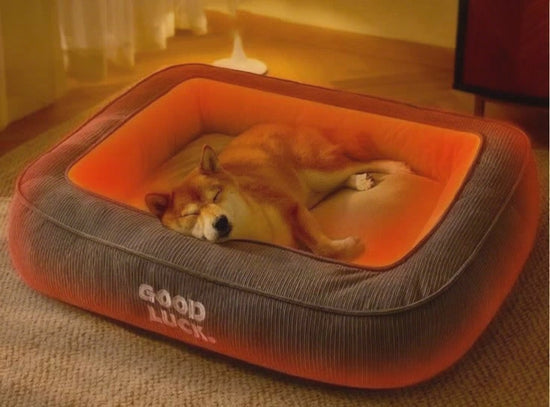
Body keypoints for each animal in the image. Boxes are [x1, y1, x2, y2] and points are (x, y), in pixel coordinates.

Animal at [145, 123, 410, 259]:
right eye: (191, 214)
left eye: (216, 195)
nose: (220, 222)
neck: (250, 231)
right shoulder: (298, 208)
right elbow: (318, 246)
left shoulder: (290, 206)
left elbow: (321, 247)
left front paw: (349, 247)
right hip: (313, 189)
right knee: (342, 178)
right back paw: (359, 182)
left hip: (319, 171)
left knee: (360, 162)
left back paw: (395, 167)